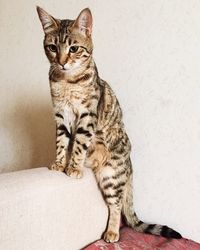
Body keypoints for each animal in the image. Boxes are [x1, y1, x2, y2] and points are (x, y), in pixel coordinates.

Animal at [36, 6, 182, 243]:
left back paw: (112, 232)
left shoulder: (87, 116)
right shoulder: (60, 116)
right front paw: (59, 162)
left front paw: (73, 167)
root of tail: (130, 165)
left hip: (111, 176)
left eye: (74, 48)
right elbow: (61, 142)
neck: (67, 83)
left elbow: (78, 144)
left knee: (116, 205)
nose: (62, 61)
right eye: (52, 47)